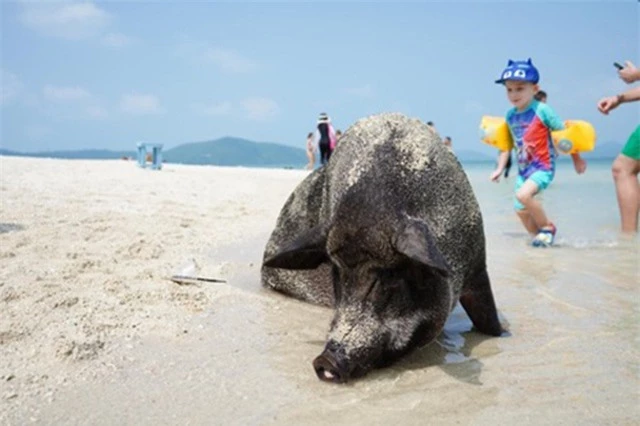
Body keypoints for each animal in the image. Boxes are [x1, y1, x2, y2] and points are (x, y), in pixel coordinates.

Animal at [260, 112, 504, 382]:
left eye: (389, 277)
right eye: (336, 274)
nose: (325, 361)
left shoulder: (477, 263)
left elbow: (489, 321)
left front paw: (504, 334)